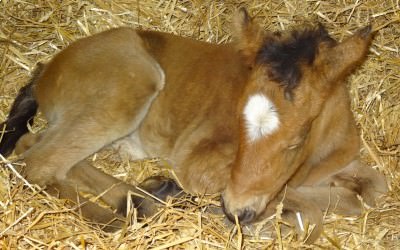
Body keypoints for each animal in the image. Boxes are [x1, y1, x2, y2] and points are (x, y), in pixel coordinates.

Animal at [0, 8, 388, 241]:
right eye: (237, 119)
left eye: (297, 139)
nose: (237, 212)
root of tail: (46, 70)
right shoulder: (198, 165)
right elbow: (305, 209)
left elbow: (374, 189)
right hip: (133, 83)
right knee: (38, 162)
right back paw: (129, 214)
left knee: (36, 147)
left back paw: (140, 196)